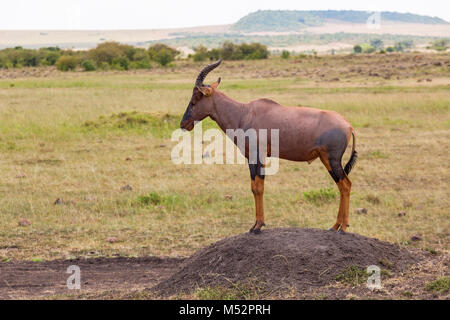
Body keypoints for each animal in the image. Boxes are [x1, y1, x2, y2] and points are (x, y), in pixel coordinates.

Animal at [181, 60, 356, 235]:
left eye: (196, 98)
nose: (183, 124)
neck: (244, 113)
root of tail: (348, 125)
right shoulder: (252, 157)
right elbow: (254, 186)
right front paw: (254, 225)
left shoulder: (258, 155)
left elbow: (258, 187)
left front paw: (258, 226)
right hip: (327, 160)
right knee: (342, 185)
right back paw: (334, 226)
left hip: (332, 159)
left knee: (345, 185)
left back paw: (343, 228)